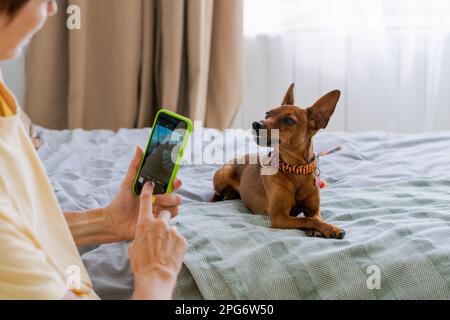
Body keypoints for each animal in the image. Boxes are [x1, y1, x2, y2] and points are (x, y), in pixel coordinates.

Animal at [213, 84, 346, 239]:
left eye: (288, 120)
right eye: (267, 114)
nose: (255, 124)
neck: (295, 169)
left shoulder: (314, 210)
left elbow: (315, 218)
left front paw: (320, 228)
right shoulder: (279, 217)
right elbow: (307, 219)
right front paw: (331, 228)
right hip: (223, 174)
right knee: (216, 194)